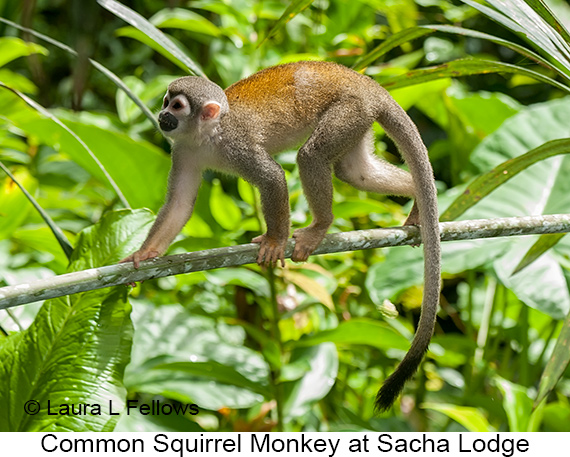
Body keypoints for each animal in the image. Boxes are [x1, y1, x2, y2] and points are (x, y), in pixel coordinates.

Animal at [121, 61, 440, 410]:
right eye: (166, 101)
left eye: (177, 106)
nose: (162, 114)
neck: (207, 136)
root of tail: (365, 82)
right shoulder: (183, 150)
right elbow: (179, 205)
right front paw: (146, 253)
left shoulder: (237, 146)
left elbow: (273, 178)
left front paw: (275, 240)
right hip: (360, 118)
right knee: (356, 173)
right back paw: (417, 195)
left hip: (350, 109)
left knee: (312, 156)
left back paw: (321, 226)